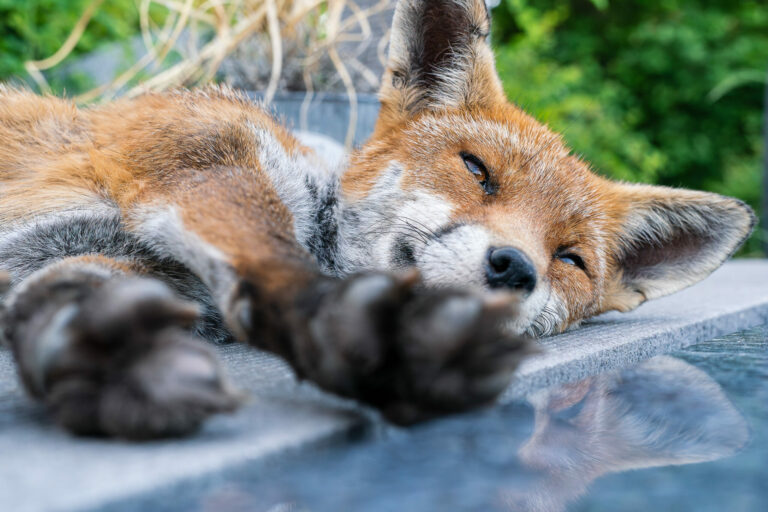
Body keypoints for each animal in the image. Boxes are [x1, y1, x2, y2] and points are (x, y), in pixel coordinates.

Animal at [0, 0, 756, 440]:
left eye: (569, 259)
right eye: (477, 171)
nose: (514, 268)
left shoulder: (117, 266)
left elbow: (75, 292)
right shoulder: (207, 153)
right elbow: (274, 256)